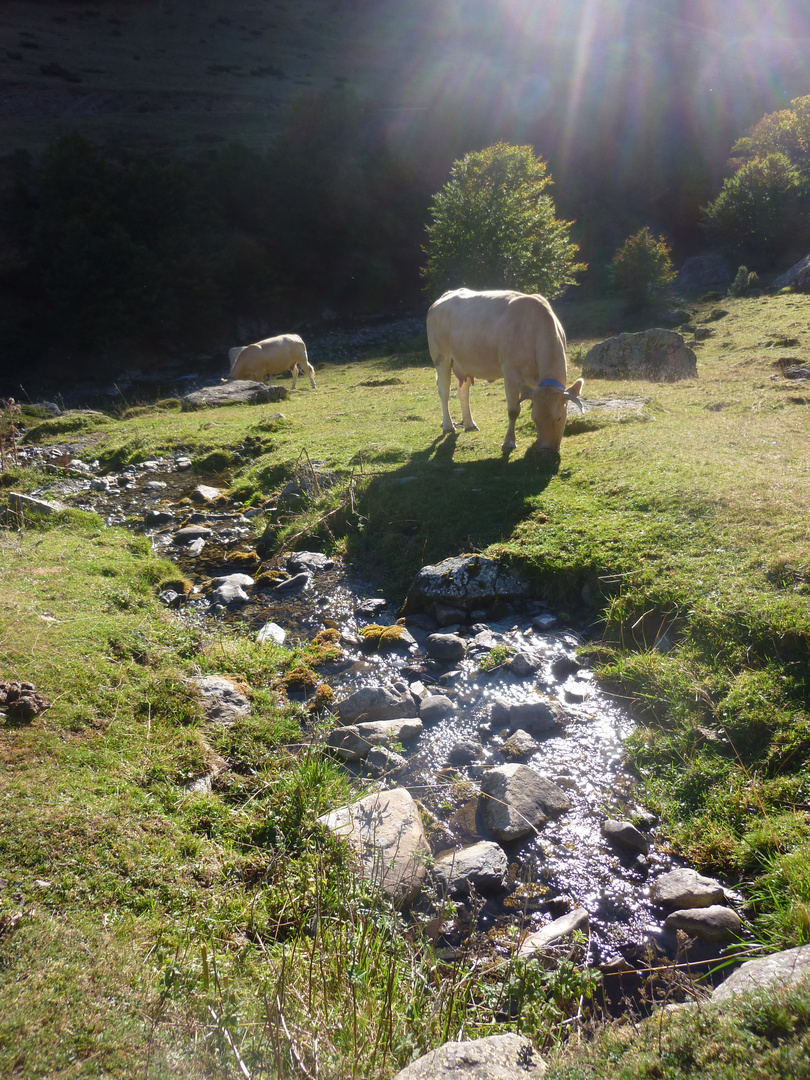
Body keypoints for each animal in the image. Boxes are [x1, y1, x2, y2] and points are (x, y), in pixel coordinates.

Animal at [425, 289, 583, 453]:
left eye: (559, 418)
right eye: (534, 419)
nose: (546, 449)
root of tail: (444, 297)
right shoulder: (510, 373)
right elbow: (513, 410)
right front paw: (509, 442)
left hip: (464, 362)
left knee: (463, 390)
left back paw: (469, 424)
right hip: (441, 357)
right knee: (444, 391)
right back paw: (448, 426)